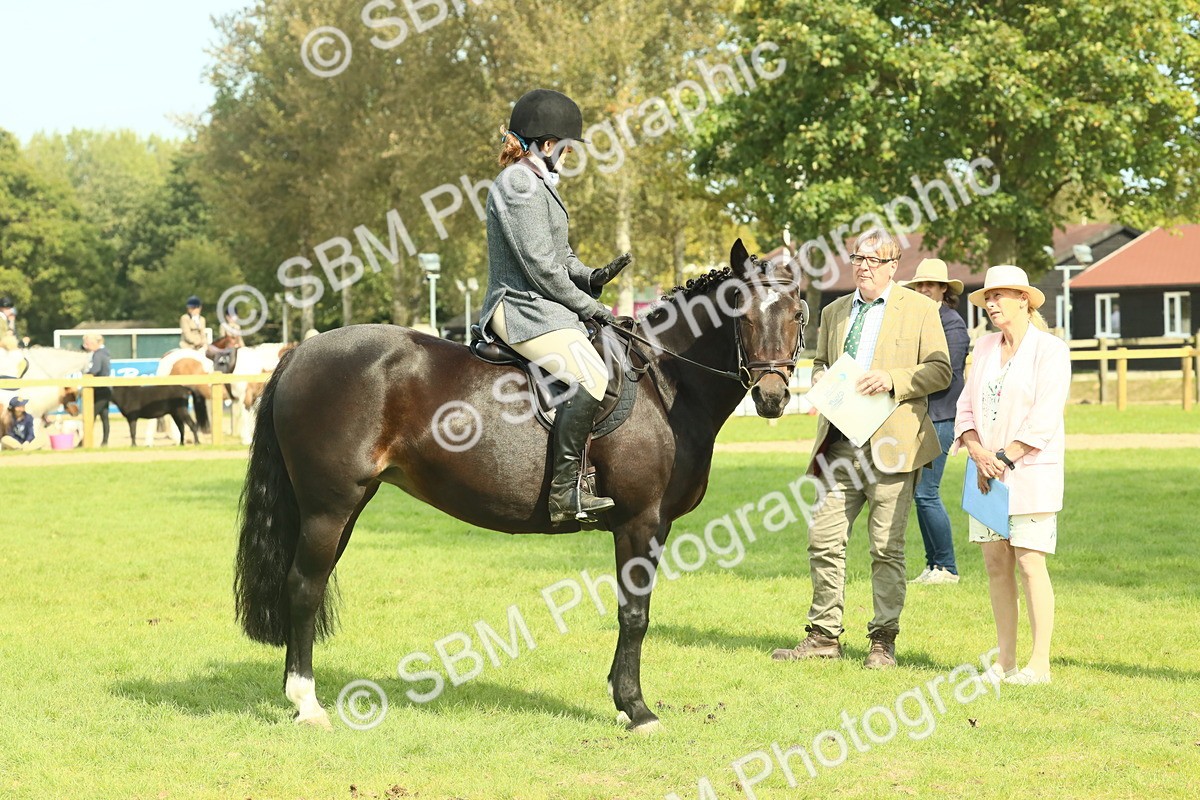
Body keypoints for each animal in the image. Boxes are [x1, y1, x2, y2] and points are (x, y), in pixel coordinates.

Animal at [234, 240, 807, 732]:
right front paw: (636, 708)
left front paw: (623, 700)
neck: (663, 383)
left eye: (797, 313)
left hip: (345, 506)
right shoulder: (641, 522)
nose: (774, 396)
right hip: (328, 507)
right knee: (303, 587)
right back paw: (307, 703)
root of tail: (300, 352)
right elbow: (634, 614)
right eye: (740, 310)